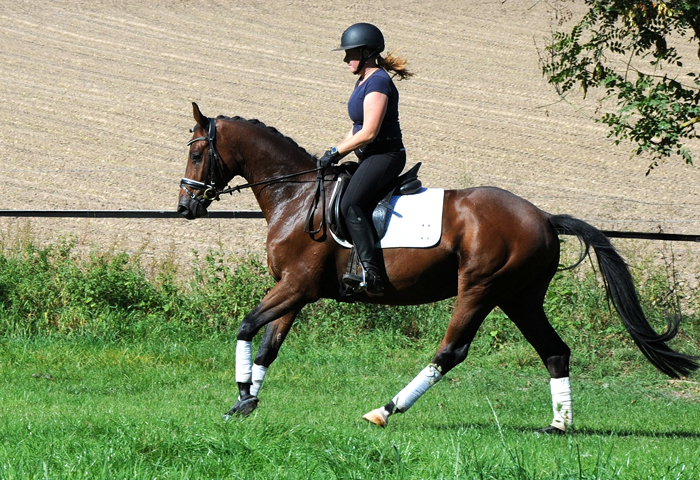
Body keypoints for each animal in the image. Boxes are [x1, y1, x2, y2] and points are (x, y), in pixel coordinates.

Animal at [176, 103, 696, 434]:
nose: (185, 207)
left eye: (198, 153)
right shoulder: (294, 289)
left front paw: (242, 394)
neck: (298, 195)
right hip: (520, 297)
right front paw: (245, 401)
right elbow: (268, 345)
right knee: (555, 351)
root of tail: (543, 217)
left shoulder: (298, 286)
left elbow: (247, 327)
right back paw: (557, 425)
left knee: (451, 350)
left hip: (481, 288)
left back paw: (385, 411)